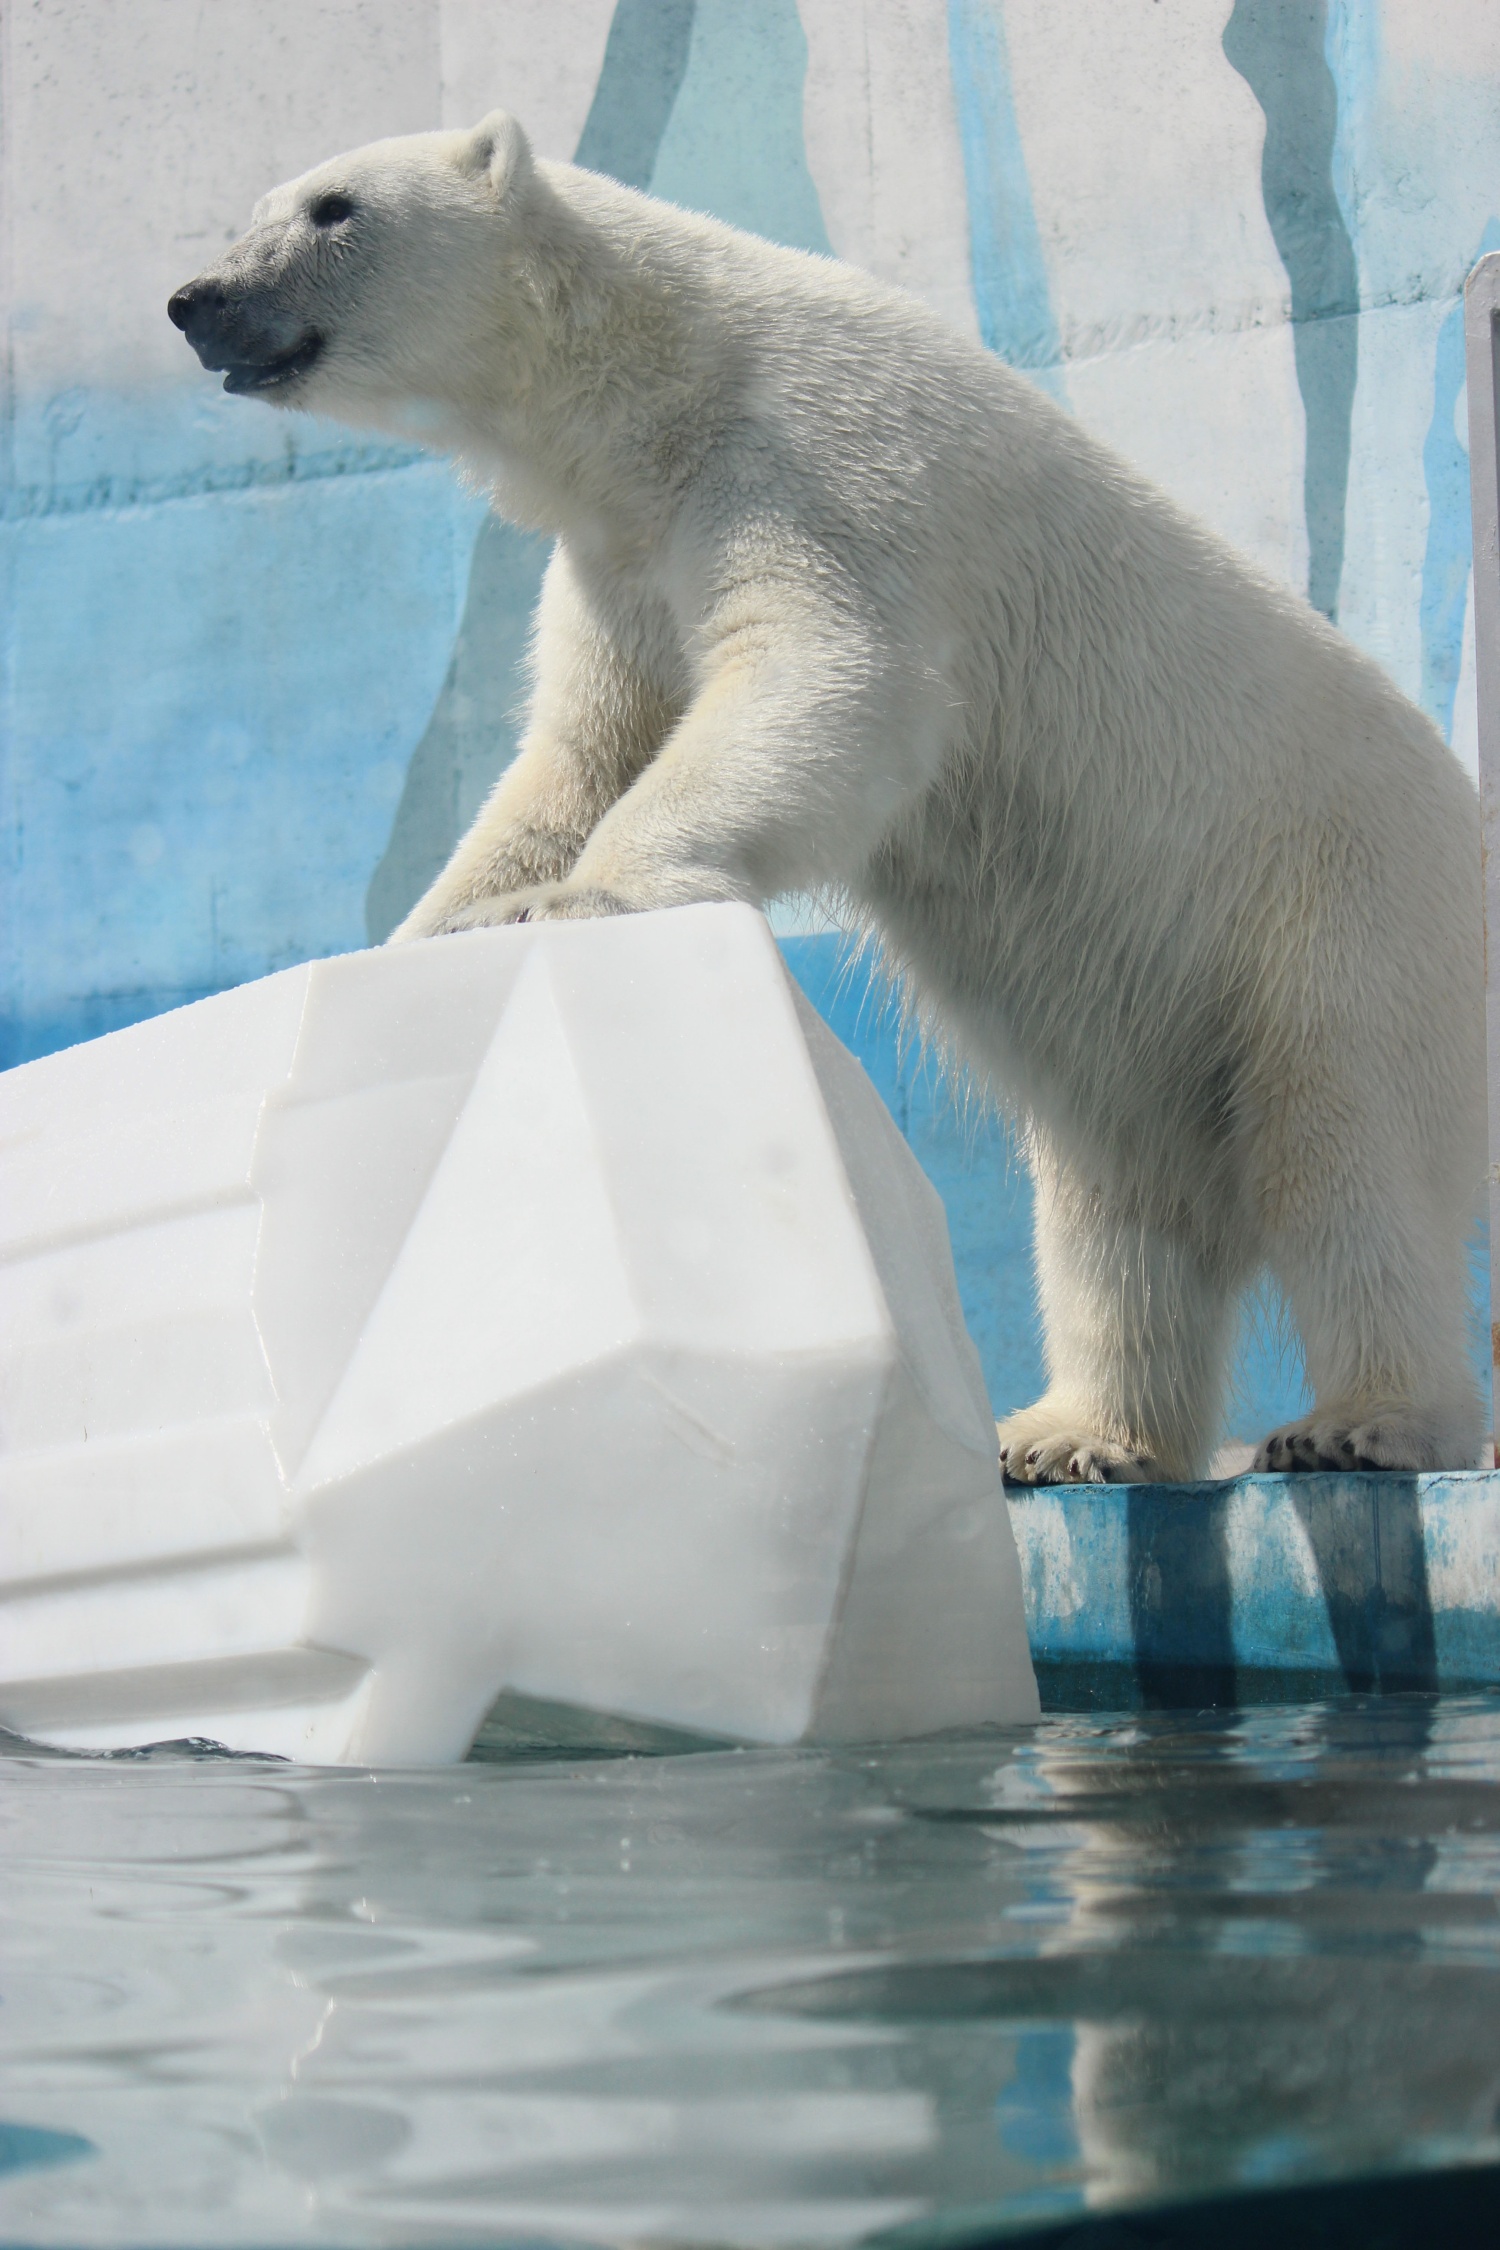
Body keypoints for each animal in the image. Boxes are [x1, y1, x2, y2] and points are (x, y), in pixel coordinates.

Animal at [169, 109, 1484, 1476]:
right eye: (257, 209)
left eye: (333, 207)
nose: (196, 301)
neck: (665, 389)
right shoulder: (621, 563)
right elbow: (576, 760)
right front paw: (427, 934)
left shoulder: (821, 460)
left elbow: (829, 674)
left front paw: (575, 904)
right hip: (1138, 1021)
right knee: (1115, 1195)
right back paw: (1071, 1436)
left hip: (1348, 895)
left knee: (1344, 1140)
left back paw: (1362, 1421)